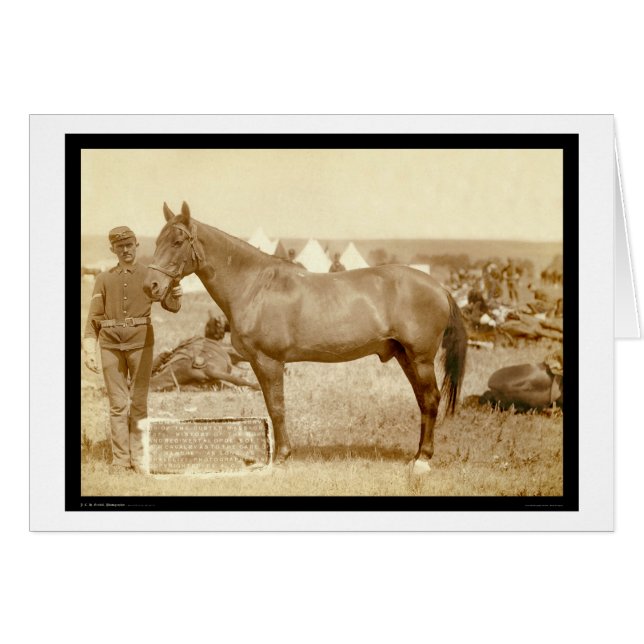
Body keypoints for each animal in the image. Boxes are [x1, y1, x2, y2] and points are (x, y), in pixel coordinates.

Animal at [143, 201, 468, 472]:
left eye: (177, 242)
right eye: (156, 241)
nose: (151, 286)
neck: (255, 285)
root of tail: (439, 287)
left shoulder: (270, 362)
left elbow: (277, 407)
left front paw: (281, 456)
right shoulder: (258, 363)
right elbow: (271, 405)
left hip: (421, 359)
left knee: (431, 399)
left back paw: (423, 460)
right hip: (405, 356)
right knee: (422, 401)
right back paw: (416, 456)